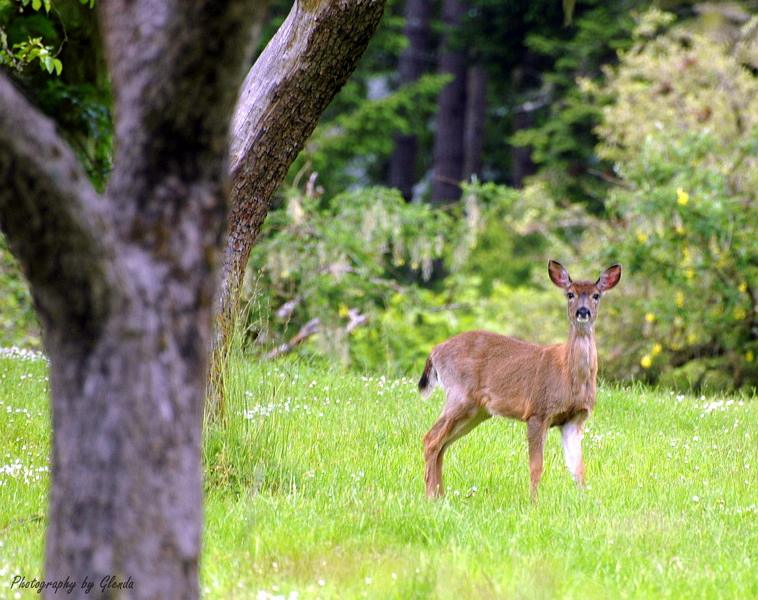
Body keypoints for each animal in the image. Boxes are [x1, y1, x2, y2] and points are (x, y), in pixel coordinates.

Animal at [422, 260, 624, 500]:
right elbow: (536, 466)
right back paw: (431, 497)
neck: (569, 376)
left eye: (596, 295)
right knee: (430, 439)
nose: (582, 312)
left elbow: (578, 469)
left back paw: (439, 496)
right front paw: (534, 501)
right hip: (459, 395)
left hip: (476, 411)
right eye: (570, 294)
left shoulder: (574, 419)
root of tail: (435, 351)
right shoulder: (538, 411)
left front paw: (587, 500)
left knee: (442, 444)